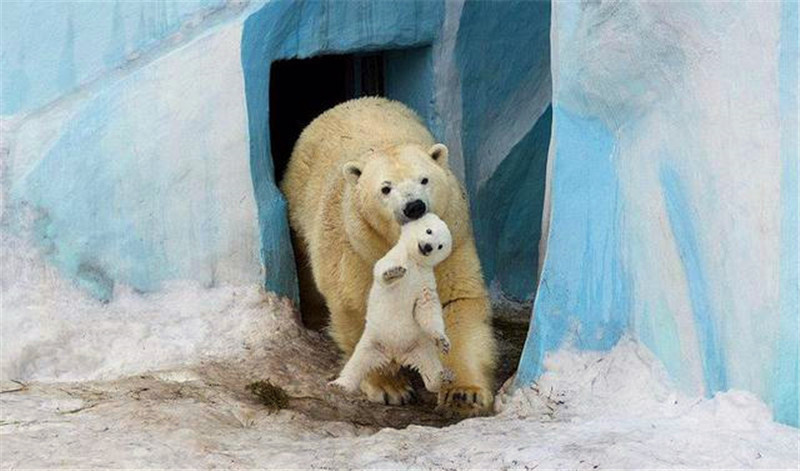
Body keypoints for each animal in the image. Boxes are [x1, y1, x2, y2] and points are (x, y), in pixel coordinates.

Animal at [280, 96, 494, 416]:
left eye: (424, 179)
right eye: (385, 188)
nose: (414, 206)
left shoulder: (453, 241)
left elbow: (455, 301)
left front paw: (464, 393)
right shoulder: (358, 249)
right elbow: (358, 307)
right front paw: (390, 387)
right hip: (300, 204)